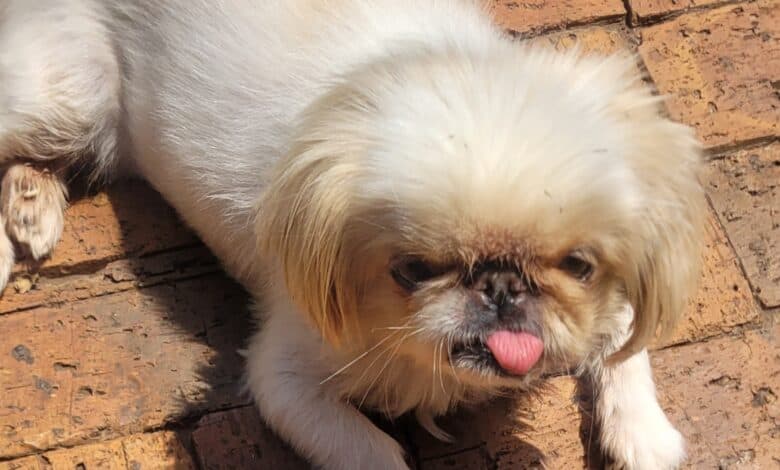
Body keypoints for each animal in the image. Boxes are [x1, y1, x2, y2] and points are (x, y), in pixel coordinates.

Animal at [0, 1, 705, 468]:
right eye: (412, 271)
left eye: (579, 266)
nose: (501, 288)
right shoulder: (285, 380)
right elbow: (375, 453)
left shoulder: (613, 295)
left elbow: (624, 342)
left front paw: (644, 437)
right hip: (68, 95)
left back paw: (33, 210)